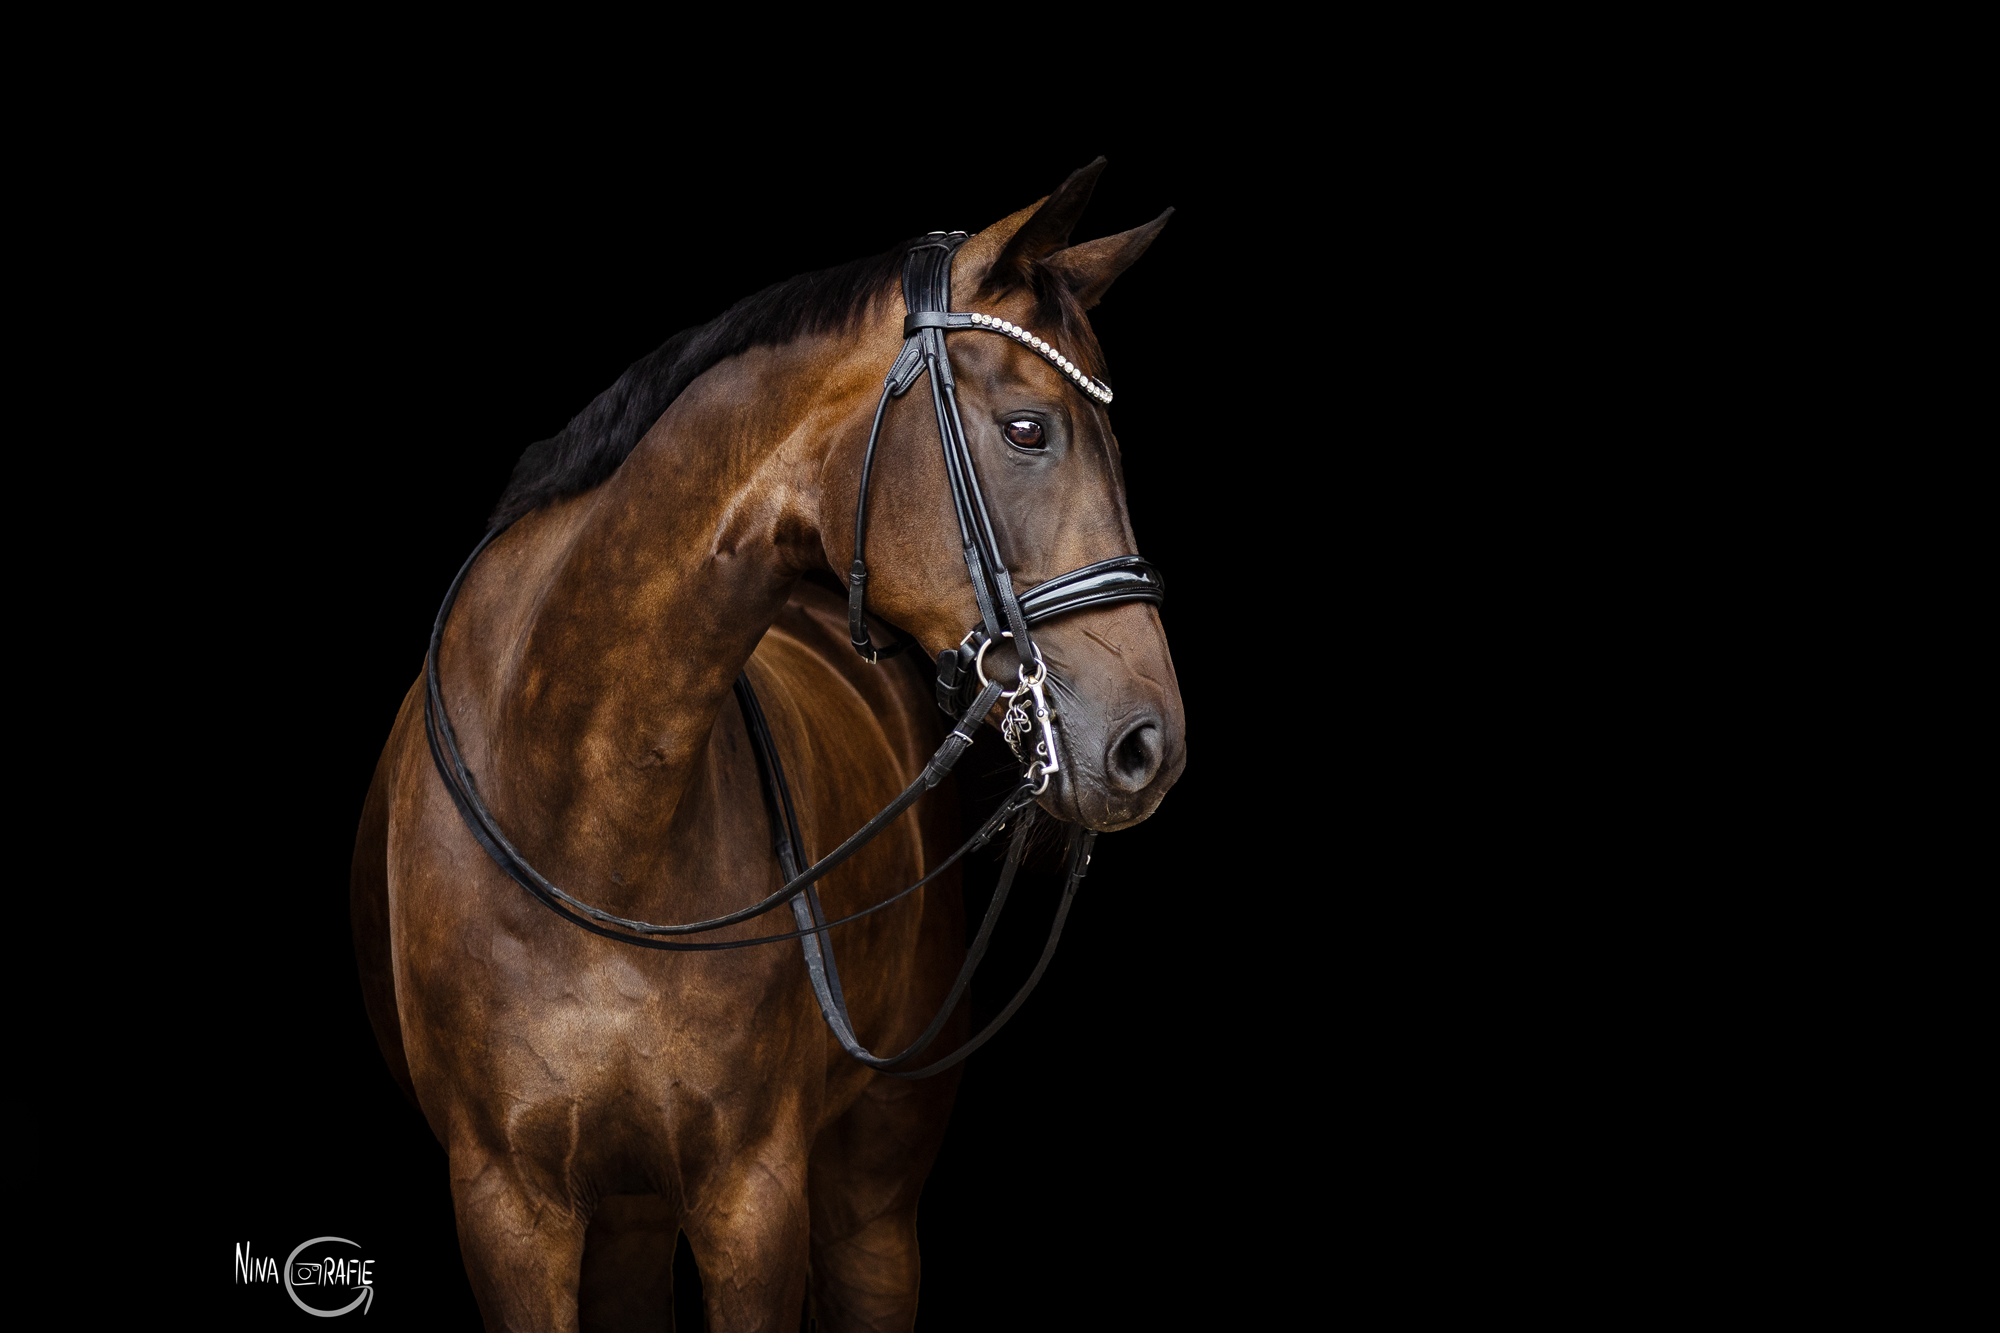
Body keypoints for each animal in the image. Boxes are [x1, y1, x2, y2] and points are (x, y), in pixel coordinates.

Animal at [350, 158, 1186, 1331]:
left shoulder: (753, 1197)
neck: (581, 815)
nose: (1147, 741)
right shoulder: (506, 1208)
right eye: (1029, 430)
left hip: (869, 1196)